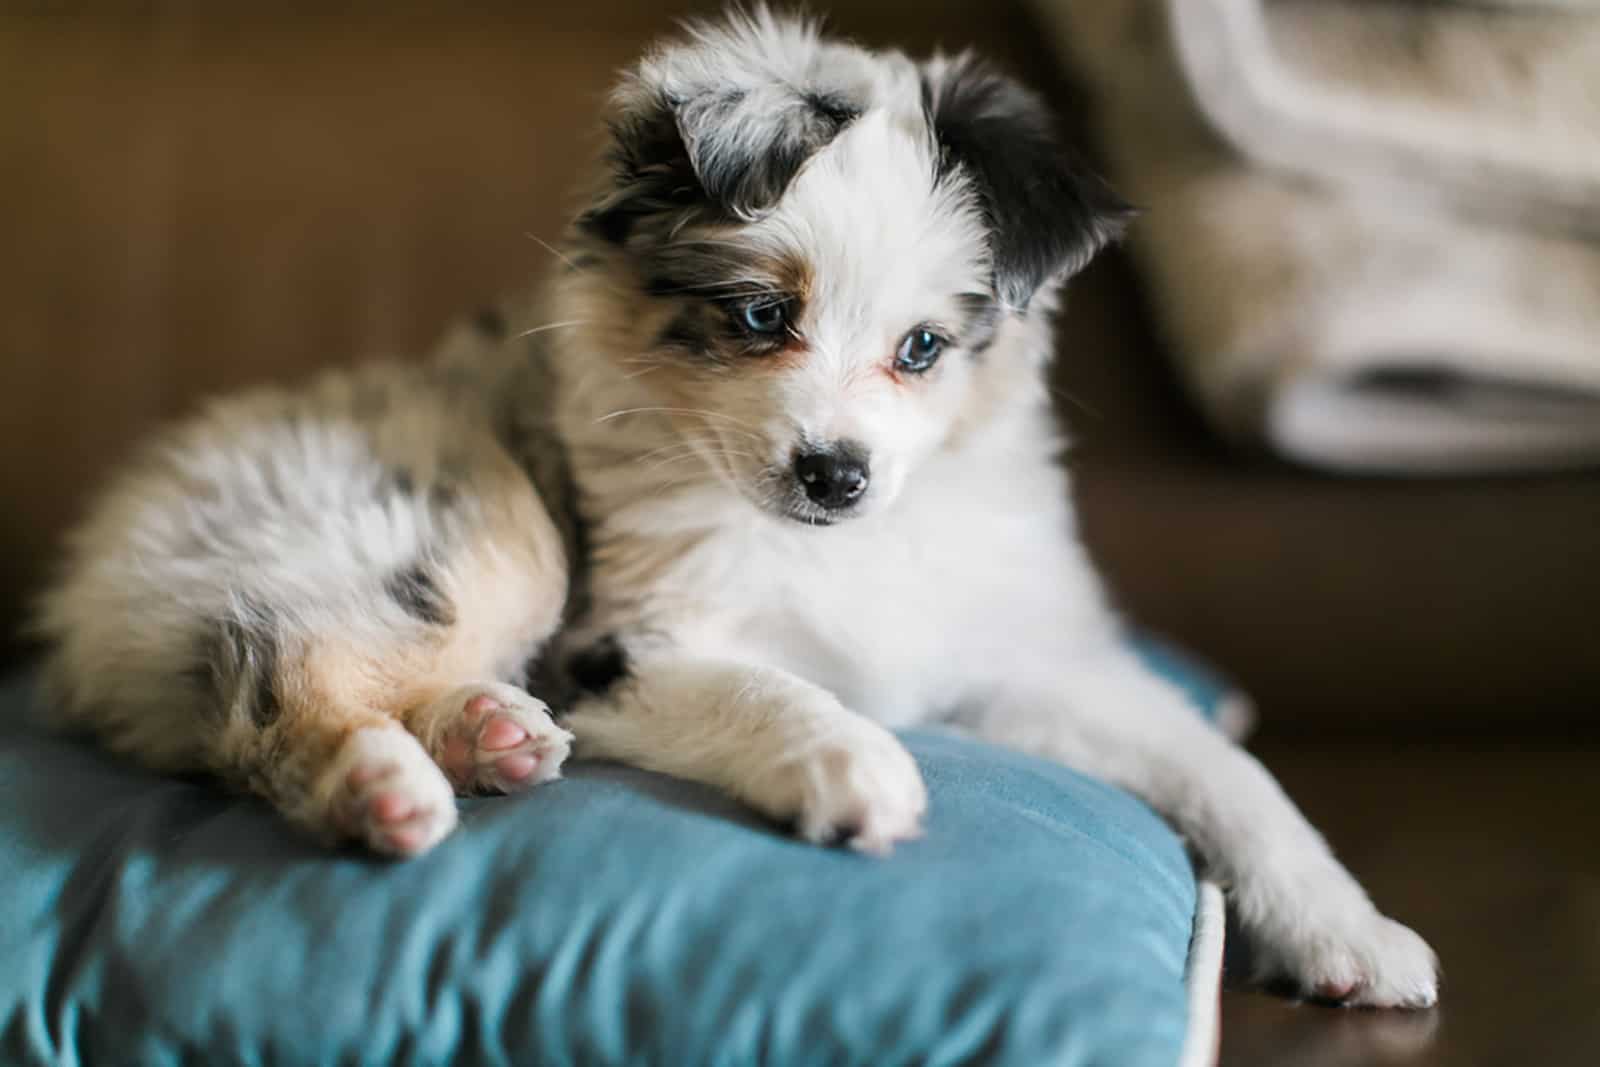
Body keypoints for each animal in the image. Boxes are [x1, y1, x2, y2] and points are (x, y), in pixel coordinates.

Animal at [34, 10, 1440, 1011]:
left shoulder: (1030, 661)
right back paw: (389, 788)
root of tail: (105, 557)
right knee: (280, 686)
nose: (835, 474)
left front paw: (1352, 932)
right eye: (763, 315)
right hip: (477, 534)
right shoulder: (624, 638)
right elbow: (769, 686)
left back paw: (491, 736)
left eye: (922, 349)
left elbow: (1229, 769)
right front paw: (856, 769)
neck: (850, 545)